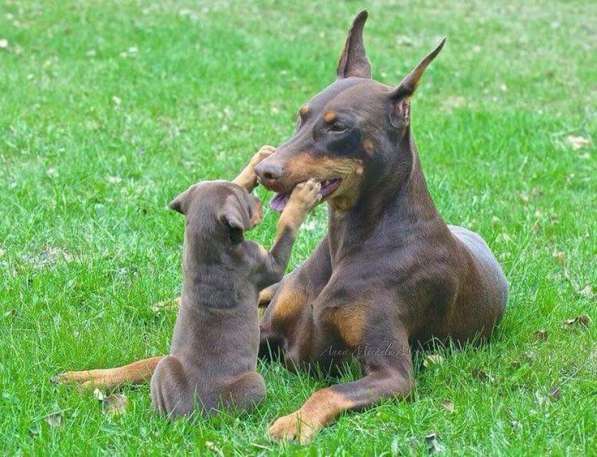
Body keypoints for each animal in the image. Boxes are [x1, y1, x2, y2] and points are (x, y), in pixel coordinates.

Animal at [151, 150, 322, 416]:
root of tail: (193, 412)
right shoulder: (263, 265)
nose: (260, 202)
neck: (208, 245)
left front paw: (256, 161)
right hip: (254, 382)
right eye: (247, 203)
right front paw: (302, 198)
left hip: (165, 367)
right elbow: (286, 228)